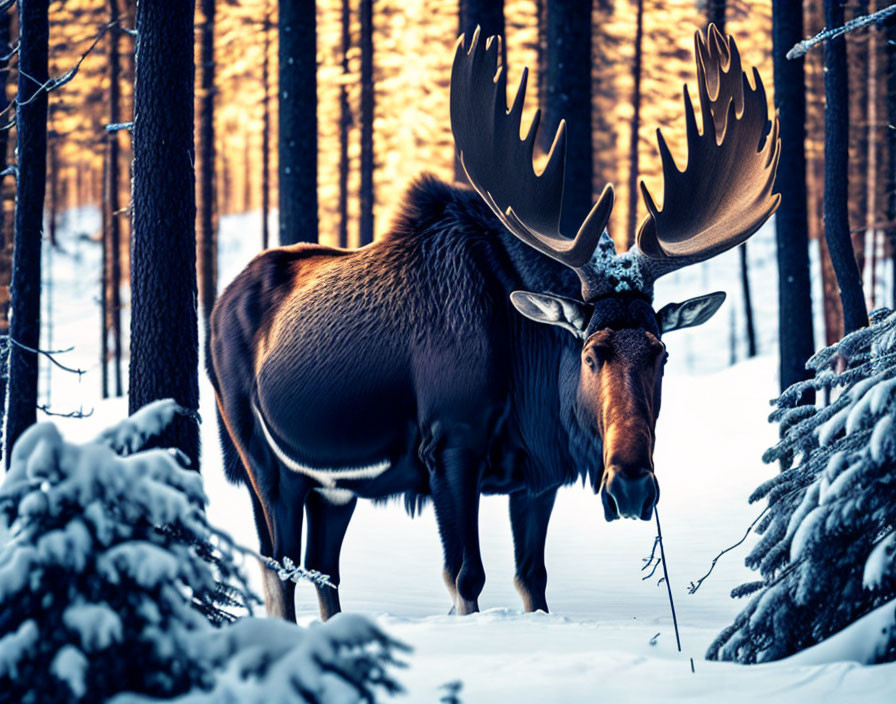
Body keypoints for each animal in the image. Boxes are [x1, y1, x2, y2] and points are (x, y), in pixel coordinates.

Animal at [208, 26, 776, 620]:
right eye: (589, 352)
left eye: (660, 353)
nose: (632, 488)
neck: (532, 380)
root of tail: (219, 303)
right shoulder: (451, 445)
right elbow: (466, 577)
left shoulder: (537, 476)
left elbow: (534, 580)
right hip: (261, 460)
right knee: (278, 569)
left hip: (334, 488)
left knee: (322, 569)